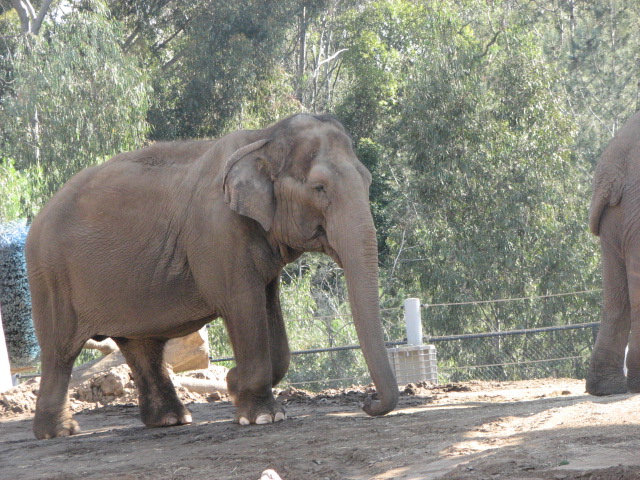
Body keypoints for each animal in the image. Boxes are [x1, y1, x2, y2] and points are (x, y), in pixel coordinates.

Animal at [26, 113, 399, 439]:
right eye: (320, 187)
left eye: (367, 181)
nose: (368, 404)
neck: (265, 136)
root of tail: (39, 214)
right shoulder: (219, 233)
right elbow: (242, 304)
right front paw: (261, 415)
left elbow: (269, 310)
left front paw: (236, 385)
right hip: (49, 275)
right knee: (60, 352)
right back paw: (58, 432)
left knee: (141, 346)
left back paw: (170, 420)